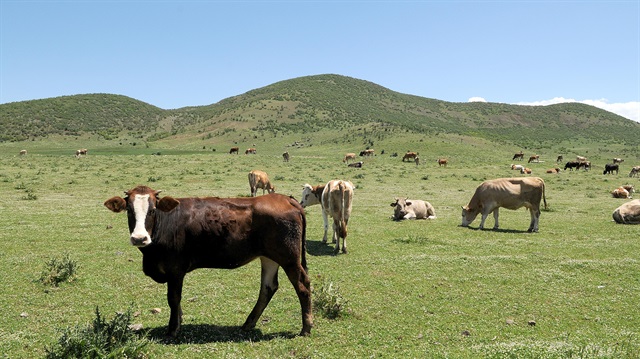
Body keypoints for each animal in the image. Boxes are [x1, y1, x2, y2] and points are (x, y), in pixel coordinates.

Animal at [103, 187, 312, 338]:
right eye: (129, 210)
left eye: (153, 210)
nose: (139, 238)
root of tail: (285, 198)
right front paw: (179, 321)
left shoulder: (175, 269)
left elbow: (173, 298)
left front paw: (172, 329)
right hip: (269, 257)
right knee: (268, 287)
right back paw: (248, 323)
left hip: (289, 259)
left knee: (302, 286)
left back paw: (306, 328)